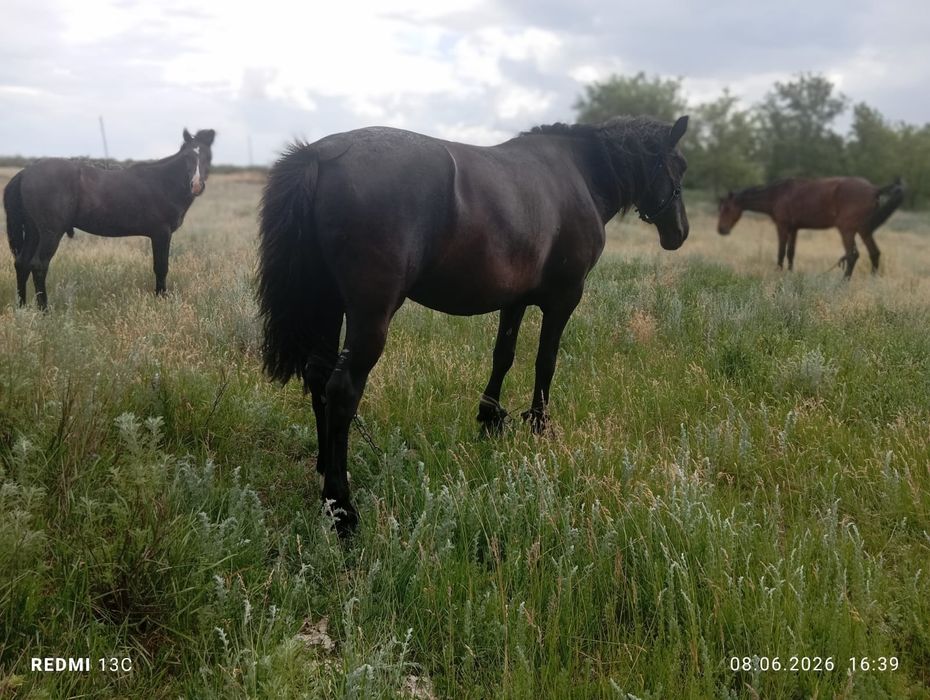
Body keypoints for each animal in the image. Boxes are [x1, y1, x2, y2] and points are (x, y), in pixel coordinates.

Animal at [4, 128, 216, 308]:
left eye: (207, 155)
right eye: (187, 156)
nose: (197, 185)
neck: (163, 182)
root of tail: (27, 172)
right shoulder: (161, 234)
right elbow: (161, 267)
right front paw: (161, 299)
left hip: (33, 231)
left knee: (22, 263)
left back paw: (22, 308)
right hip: (50, 233)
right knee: (39, 265)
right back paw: (44, 311)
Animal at [257, 115, 690, 536]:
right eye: (681, 166)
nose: (680, 232)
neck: (579, 173)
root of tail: (321, 154)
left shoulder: (514, 301)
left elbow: (504, 355)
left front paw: (490, 419)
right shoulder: (564, 299)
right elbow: (546, 362)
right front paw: (538, 425)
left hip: (326, 305)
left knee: (317, 377)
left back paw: (325, 469)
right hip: (369, 315)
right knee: (342, 390)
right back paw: (342, 507)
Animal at [717, 176, 904, 277]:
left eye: (727, 208)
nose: (721, 230)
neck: (777, 195)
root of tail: (875, 189)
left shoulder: (782, 227)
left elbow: (781, 252)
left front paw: (777, 273)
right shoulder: (794, 229)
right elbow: (791, 253)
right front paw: (789, 274)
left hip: (847, 230)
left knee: (852, 256)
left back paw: (842, 284)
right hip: (864, 230)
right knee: (874, 253)